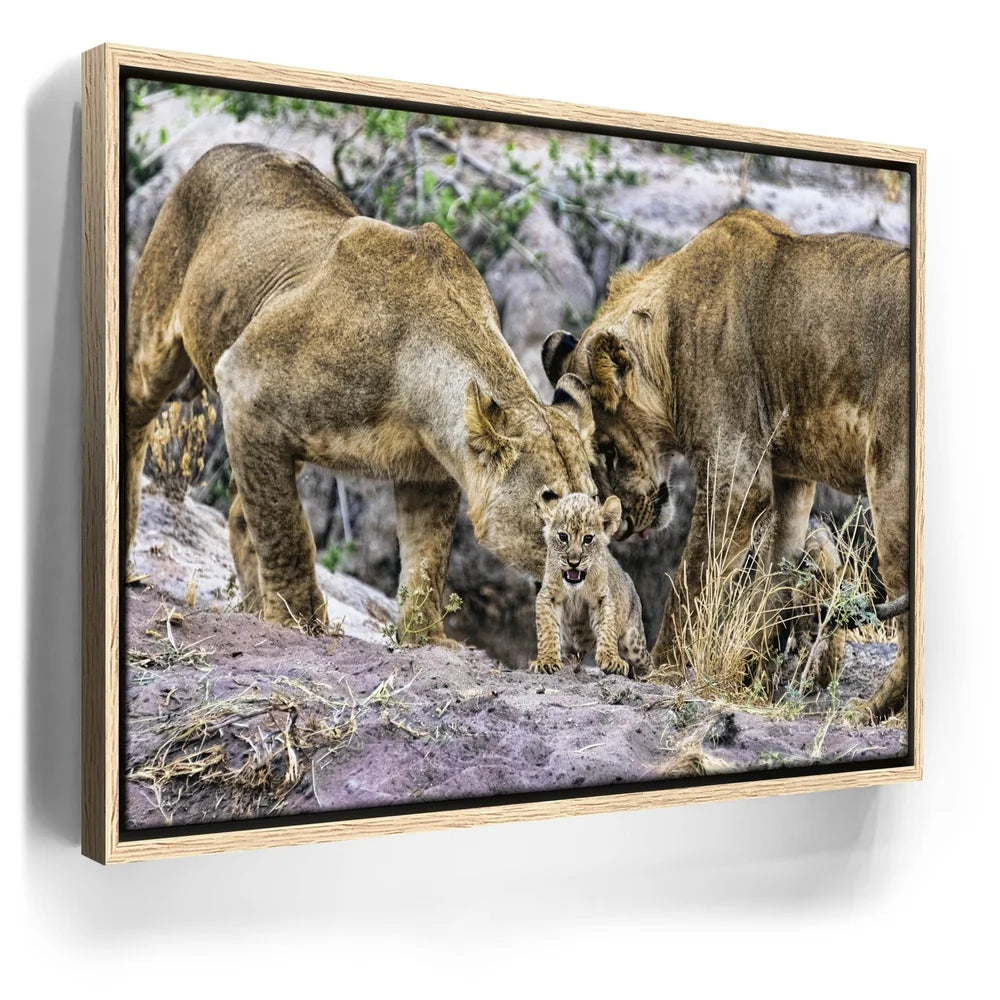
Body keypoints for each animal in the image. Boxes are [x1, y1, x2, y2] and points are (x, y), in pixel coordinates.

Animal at [126, 143, 597, 641]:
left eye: (598, 512)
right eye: (552, 508)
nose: (584, 568)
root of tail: (225, 148)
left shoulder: (430, 472)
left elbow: (427, 562)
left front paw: (426, 639)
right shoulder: (244, 384)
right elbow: (285, 530)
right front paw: (299, 621)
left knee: (239, 513)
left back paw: (252, 606)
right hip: (158, 342)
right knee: (136, 417)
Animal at [530, 492, 650, 678]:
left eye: (588, 539)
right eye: (563, 537)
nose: (573, 563)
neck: (575, 589)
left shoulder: (602, 598)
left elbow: (607, 628)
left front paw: (611, 660)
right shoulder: (548, 595)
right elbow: (547, 630)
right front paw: (547, 661)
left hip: (634, 641)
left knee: (647, 661)